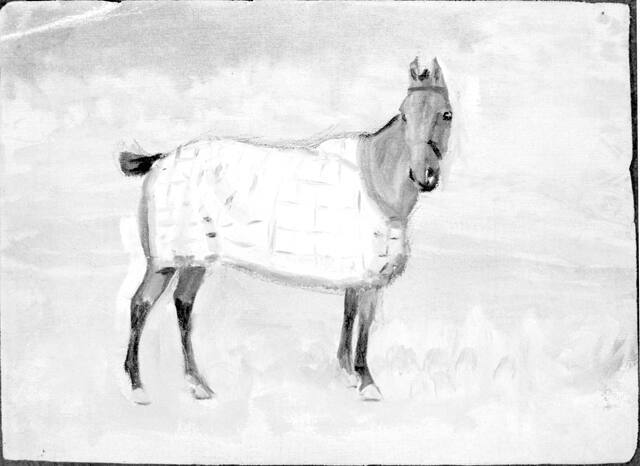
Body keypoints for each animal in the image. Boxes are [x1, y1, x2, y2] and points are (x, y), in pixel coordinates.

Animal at [119, 57, 453, 404]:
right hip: (165, 260)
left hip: (195, 259)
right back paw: (137, 387)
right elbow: (364, 325)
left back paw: (196, 383)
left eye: (446, 114)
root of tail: (161, 159)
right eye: (405, 114)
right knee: (140, 304)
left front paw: (347, 373)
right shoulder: (371, 276)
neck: (375, 178)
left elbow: (349, 314)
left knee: (183, 304)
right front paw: (366, 382)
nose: (424, 175)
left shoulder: (356, 274)